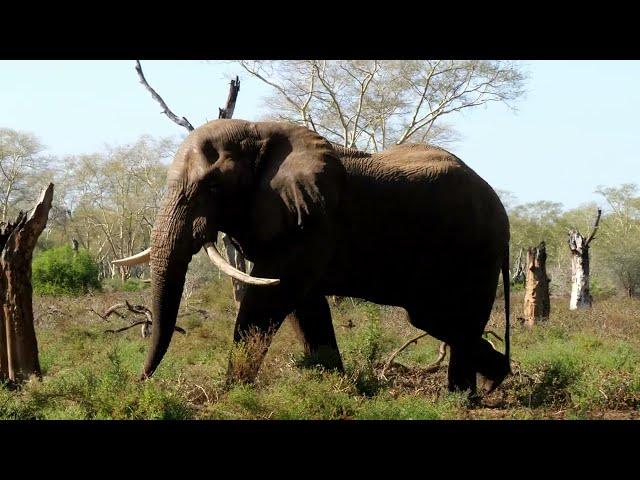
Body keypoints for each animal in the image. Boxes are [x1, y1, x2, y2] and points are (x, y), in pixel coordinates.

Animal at [115, 119, 512, 394]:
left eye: (212, 186)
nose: (140, 381)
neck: (259, 129)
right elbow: (304, 305)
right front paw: (337, 385)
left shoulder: (314, 222)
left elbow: (270, 296)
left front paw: (230, 391)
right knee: (438, 319)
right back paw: (492, 381)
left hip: (476, 250)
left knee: (451, 317)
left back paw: (463, 397)